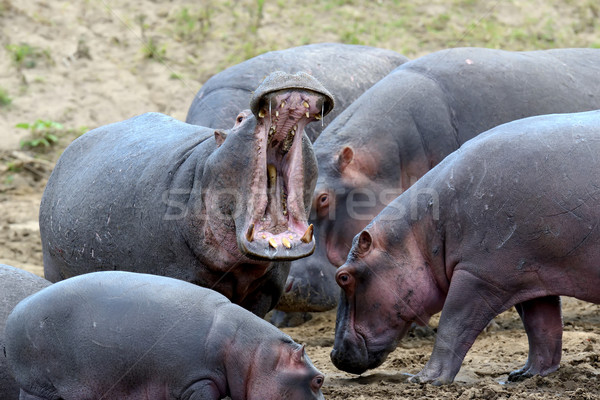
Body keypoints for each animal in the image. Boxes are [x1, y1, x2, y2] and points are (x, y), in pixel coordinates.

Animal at [330, 109, 600, 384]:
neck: (420, 231)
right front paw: (524, 375)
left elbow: (453, 325)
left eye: (343, 277)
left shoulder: (479, 275)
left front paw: (424, 379)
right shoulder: (529, 273)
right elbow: (542, 328)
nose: (333, 355)